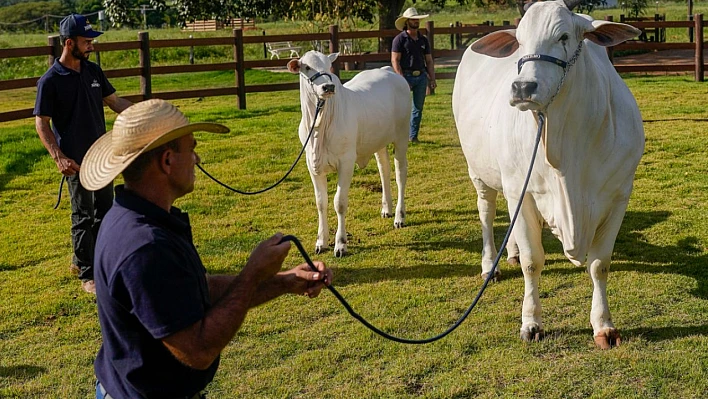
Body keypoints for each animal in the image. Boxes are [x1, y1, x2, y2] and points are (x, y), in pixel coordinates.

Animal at [286, 51, 410, 258]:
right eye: (307, 67)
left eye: (329, 66)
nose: (328, 87)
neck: (320, 125)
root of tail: (388, 71)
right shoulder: (312, 164)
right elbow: (321, 202)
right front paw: (321, 242)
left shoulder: (346, 162)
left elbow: (340, 202)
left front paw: (340, 244)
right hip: (378, 141)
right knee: (384, 170)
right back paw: (387, 208)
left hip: (401, 136)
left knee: (400, 174)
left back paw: (399, 217)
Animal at [454, 0, 648, 348]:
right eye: (519, 41)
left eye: (564, 36)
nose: (522, 87)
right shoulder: (524, 191)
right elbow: (533, 262)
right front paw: (531, 323)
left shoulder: (619, 195)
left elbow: (599, 264)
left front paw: (604, 326)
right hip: (480, 173)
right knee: (487, 213)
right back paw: (490, 264)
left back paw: (511, 253)